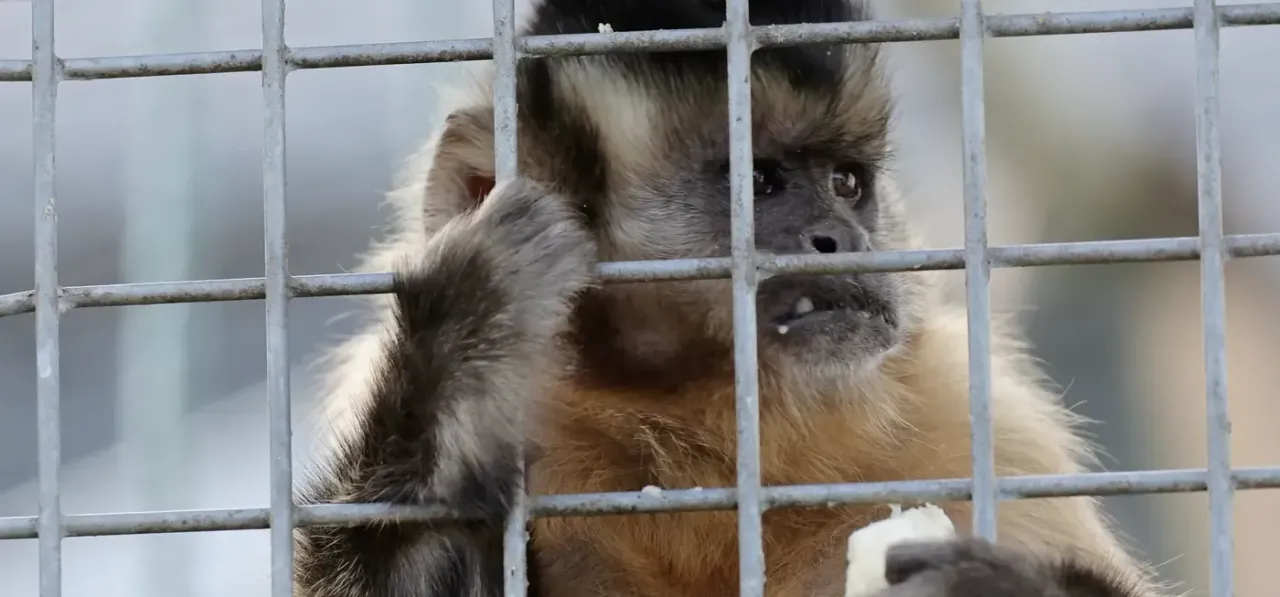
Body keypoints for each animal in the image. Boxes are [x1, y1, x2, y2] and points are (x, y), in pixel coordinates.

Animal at [291, 0, 1166, 595]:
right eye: (761, 181)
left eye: (848, 183)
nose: (841, 237)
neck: (693, 418)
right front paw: (465, 343)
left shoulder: (979, 418)